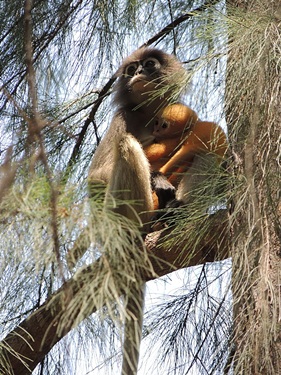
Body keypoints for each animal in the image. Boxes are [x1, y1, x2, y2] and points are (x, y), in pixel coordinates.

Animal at [87, 47, 186, 375]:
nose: (138, 73)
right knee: (127, 145)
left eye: (149, 65)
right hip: (118, 215)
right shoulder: (123, 117)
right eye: (131, 70)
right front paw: (157, 178)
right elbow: (98, 177)